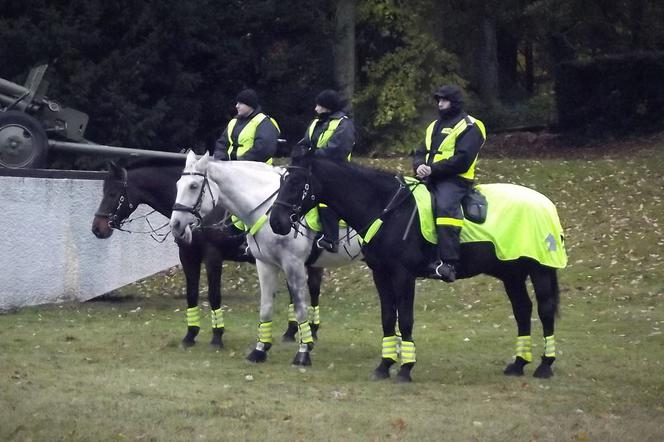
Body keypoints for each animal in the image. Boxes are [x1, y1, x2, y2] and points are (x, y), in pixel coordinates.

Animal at [92, 160, 322, 348]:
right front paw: (190, 335)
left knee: (312, 290)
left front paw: (217, 336)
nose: (97, 228)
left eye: (113, 193)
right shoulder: (188, 256)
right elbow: (191, 294)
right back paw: (293, 332)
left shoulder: (213, 257)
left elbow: (214, 295)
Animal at [167, 152, 364, 366]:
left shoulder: (293, 265)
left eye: (194, 186)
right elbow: (266, 307)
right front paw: (260, 350)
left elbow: (300, 307)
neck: (267, 210)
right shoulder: (265, 264)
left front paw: (303, 353)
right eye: (177, 184)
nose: (175, 225)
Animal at [270, 150, 564, 382]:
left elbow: (406, 318)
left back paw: (545, 365)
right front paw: (385, 365)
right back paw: (519, 363)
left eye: (296, 182)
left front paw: (405, 368)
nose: (276, 221)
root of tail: (545, 202)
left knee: (545, 310)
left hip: (540, 270)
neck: (388, 210)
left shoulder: (403, 275)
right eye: (283, 180)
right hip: (511, 274)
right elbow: (388, 317)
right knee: (522, 310)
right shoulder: (381, 274)